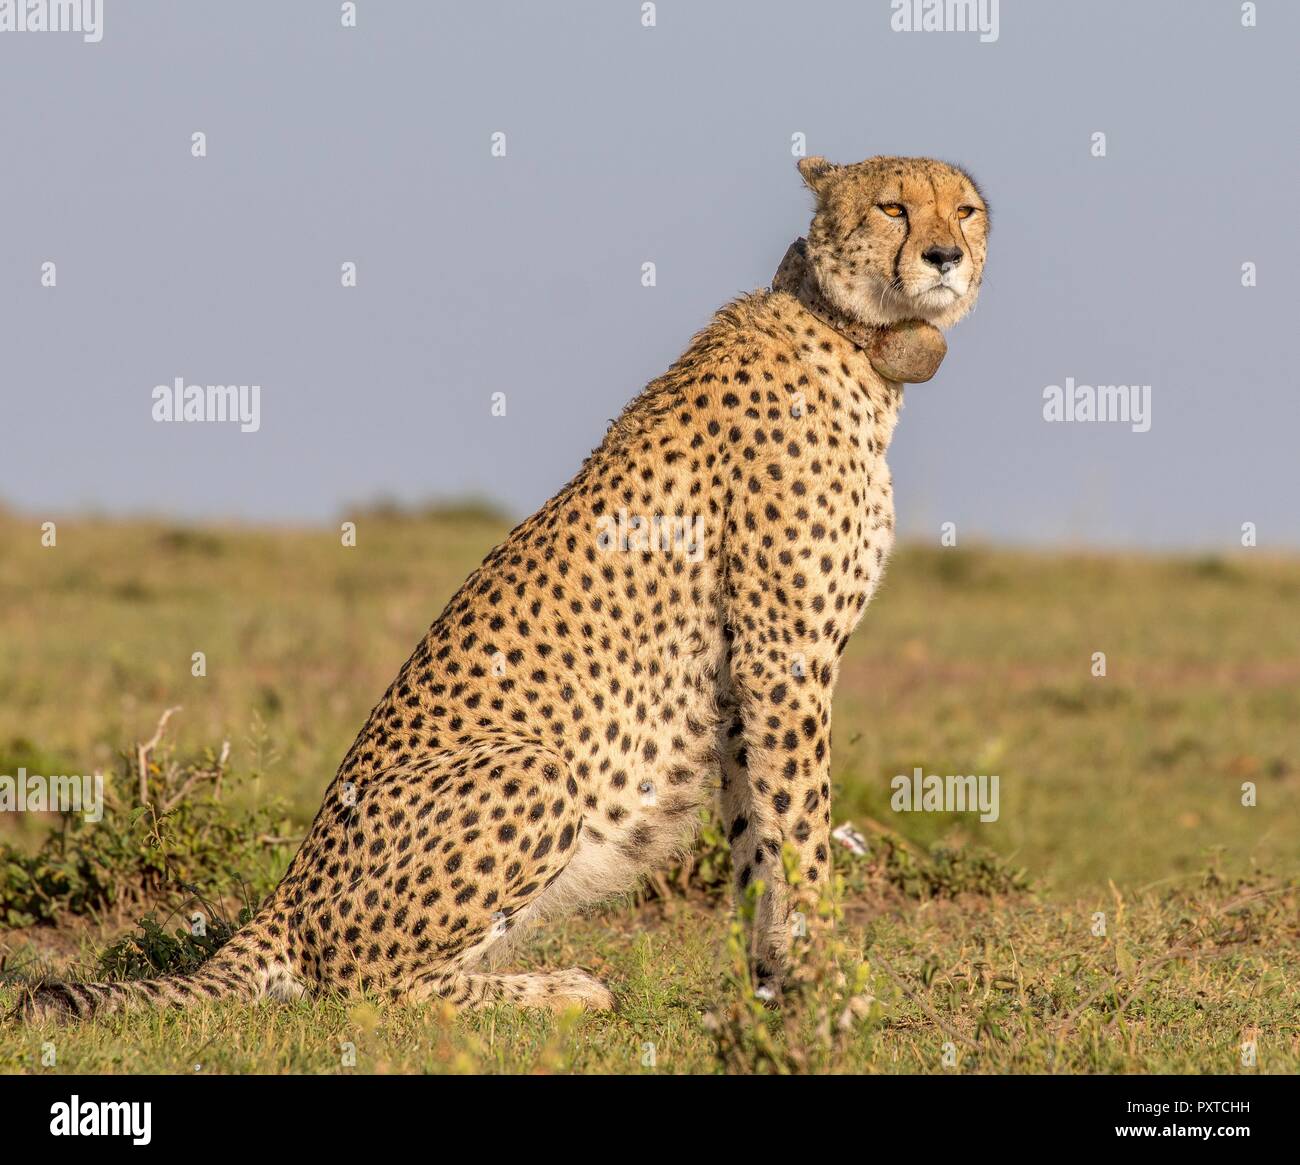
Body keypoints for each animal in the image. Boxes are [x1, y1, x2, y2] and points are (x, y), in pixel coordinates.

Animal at [17, 154, 982, 1019]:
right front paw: (834, 990)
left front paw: (778, 988)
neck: (853, 336)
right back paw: (562, 990)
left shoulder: (753, 681)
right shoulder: (785, 660)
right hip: (537, 769)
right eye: (894, 206)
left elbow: (760, 841)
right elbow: (804, 834)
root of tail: (284, 894)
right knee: (363, 990)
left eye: (965, 209)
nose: (944, 255)